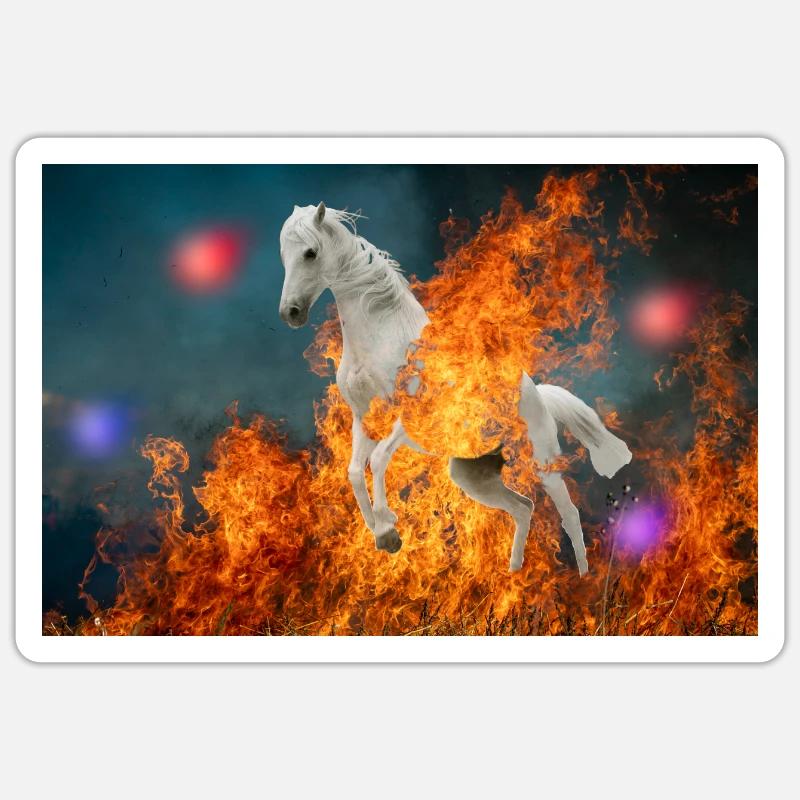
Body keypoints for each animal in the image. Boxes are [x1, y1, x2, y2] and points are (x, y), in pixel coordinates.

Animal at [278, 202, 632, 574]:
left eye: (310, 252)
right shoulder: (366, 420)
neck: (382, 339)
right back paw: (513, 569)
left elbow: (377, 460)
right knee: (523, 507)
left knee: (570, 515)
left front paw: (387, 526)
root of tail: (540, 397)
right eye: (284, 255)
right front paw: (382, 533)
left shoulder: (406, 422)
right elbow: (355, 472)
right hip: (474, 475)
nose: (291, 312)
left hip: (541, 462)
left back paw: (582, 575)